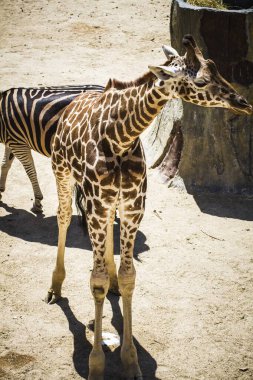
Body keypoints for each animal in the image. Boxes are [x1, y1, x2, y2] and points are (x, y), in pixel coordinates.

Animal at [0, 84, 105, 212]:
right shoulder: (11, 141)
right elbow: (5, 164)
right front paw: (0, 191)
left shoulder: (18, 143)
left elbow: (31, 172)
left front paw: (37, 201)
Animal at [45, 34, 251, 378]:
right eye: (202, 80)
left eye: (218, 69)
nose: (243, 103)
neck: (120, 138)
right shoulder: (98, 203)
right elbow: (96, 282)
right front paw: (97, 364)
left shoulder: (132, 205)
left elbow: (129, 277)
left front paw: (130, 361)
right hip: (62, 173)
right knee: (62, 218)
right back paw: (55, 287)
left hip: (108, 203)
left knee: (107, 241)